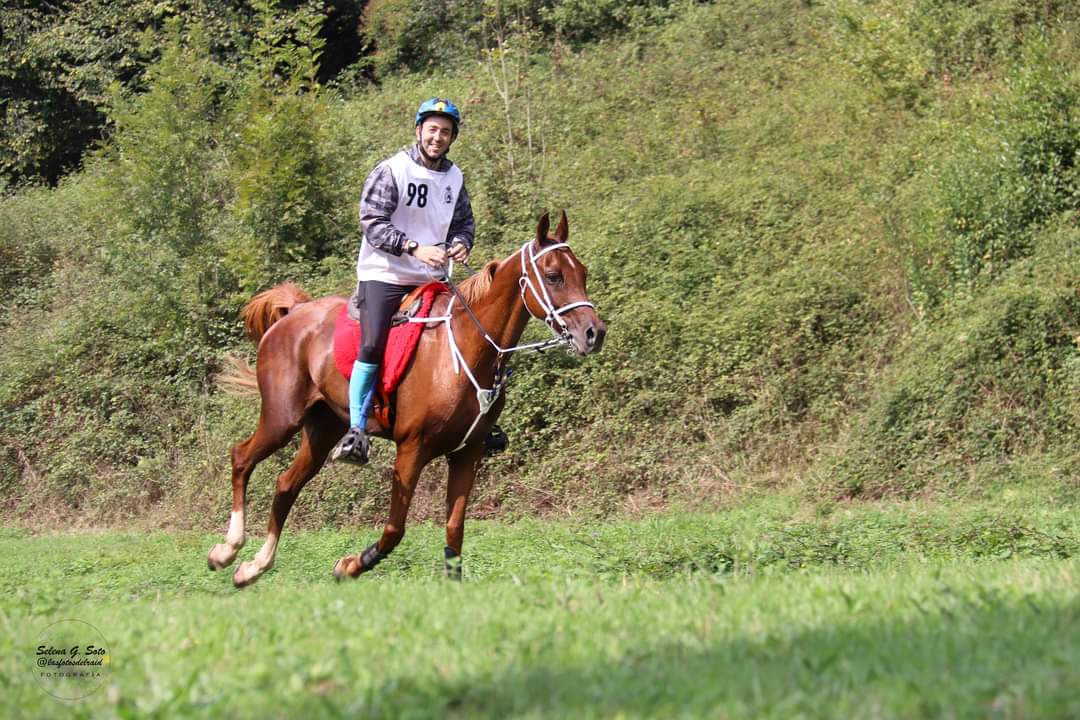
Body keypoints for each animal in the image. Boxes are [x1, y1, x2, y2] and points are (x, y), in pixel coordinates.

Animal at [204, 211, 609, 587]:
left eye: (583, 273)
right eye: (554, 276)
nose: (594, 333)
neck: (466, 350)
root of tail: (295, 313)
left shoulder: (467, 454)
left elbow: (454, 530)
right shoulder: (411, 450)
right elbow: (395, 529)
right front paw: (350, 565)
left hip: (323, 428)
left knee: (286, 484)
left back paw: (253, 568)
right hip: (281, 418)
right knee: (241, 458)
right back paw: (226, 550)